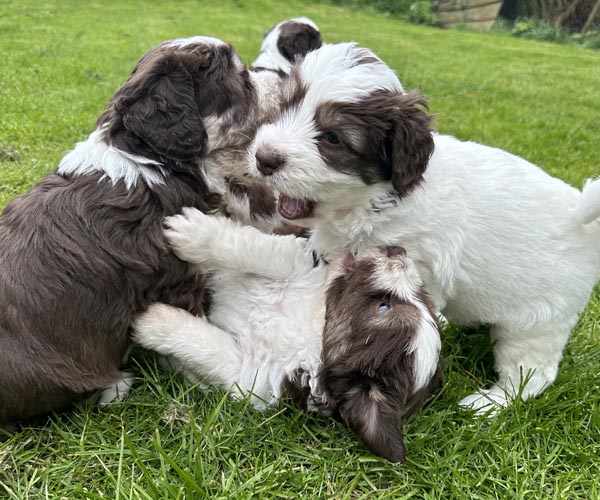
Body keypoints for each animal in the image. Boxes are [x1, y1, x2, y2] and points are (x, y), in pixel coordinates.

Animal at [0, 35, 282, 427]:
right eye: (242, 82)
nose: (281, 81)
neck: (152, 162)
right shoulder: (177, 277)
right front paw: (200, 380)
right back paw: (115, 385)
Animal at [132, 208, 441, 462]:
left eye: (384, 307)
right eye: (420, 296)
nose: (398, 251)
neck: (313, 330)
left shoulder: (252, 373)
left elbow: (207, 348)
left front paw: (152, 321)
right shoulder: (298, 262)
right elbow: (258, 251)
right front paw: (193, 232)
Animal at [247, 42, 600, 414]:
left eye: (332, 138)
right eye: (285, 107)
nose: (264, 158)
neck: (375, 199)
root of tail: (580, 213)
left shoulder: (417, 265)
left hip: (537, 322)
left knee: (532, 373)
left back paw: (488, 403)